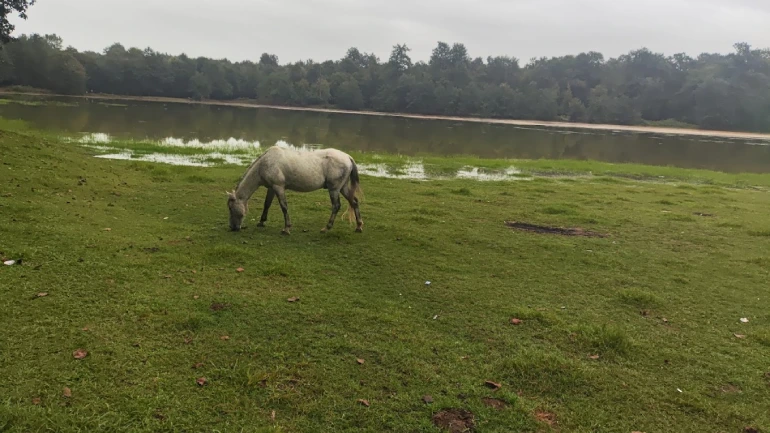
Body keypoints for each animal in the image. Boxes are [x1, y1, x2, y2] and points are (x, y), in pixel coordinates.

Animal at [226, 145, 362, 233]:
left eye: (230, 208)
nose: (233, 227)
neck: (265, 163)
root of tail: (348, 157)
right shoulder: (271, 188)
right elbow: (267, 204)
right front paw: (261, 222)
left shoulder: (278, 187)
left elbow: (284, 207)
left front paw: (286, 228)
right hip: (342, 188)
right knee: (354, 202)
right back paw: (359, 226)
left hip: (334, 189)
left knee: (336, 206)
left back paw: (326, 228)